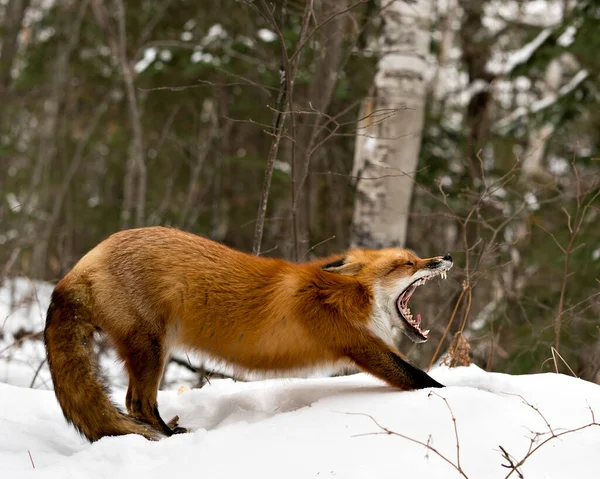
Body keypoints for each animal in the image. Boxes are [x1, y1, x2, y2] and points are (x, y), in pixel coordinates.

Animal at [44, 229, 452, 442]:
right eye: (408, 264)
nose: (445, 257)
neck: (343, 296)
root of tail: (80, 265)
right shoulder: (360, 345)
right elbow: (421, 379)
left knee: (134, 404)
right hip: (152, 348)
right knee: (137, 404)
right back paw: (172, 436)